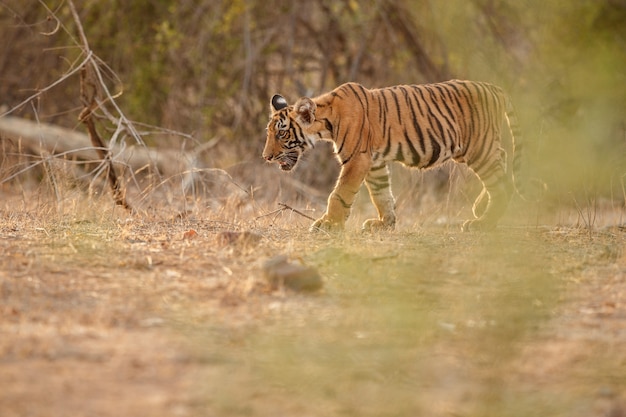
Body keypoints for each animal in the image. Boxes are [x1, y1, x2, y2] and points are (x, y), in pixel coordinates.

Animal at [260, 80, 524, 231]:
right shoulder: (375, 163)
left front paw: (328, 224)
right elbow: (381, 194)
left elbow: (340, 194)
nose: (266, 157)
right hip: (479, 148)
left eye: (282, 133)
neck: (326, 124)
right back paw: (481, 207)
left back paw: (483, 222)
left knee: (501, 183)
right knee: (502, 163)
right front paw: (384, 224)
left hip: (478, 147)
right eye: (269, 132)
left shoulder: (357, 159)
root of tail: (495, 88)